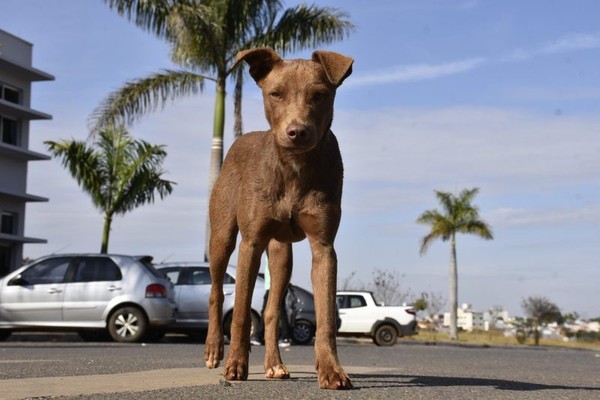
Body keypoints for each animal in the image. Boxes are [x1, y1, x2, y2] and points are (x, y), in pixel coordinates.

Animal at [204, 47, 354, 390]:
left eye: (319, 95)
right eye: (275, 94)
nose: (296, 132)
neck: (294, 169)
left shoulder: (324, 247)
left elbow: (326, 318)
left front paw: (331, 370)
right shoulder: (250, 243)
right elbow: (241, 312)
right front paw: (236, 365)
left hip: (281, 253)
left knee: (273, 312)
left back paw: (274, 364)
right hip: (222, 234)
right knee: (216, 291)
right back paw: (214, 349)